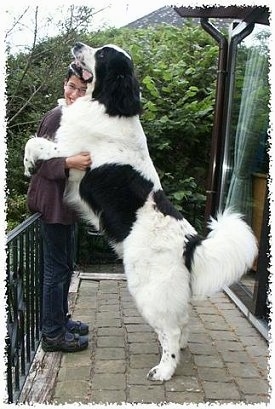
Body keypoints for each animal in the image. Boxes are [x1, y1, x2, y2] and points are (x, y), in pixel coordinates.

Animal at [24, 41, 258, 380]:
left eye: (103, 54)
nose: (79, 44)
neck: (106, 103)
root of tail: (190, 242)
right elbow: (38, 141)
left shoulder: (72, 155)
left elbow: (37, 143)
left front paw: (28, 164)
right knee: (181, 321)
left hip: (148, 289)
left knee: (170, 330)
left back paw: (165, 368)